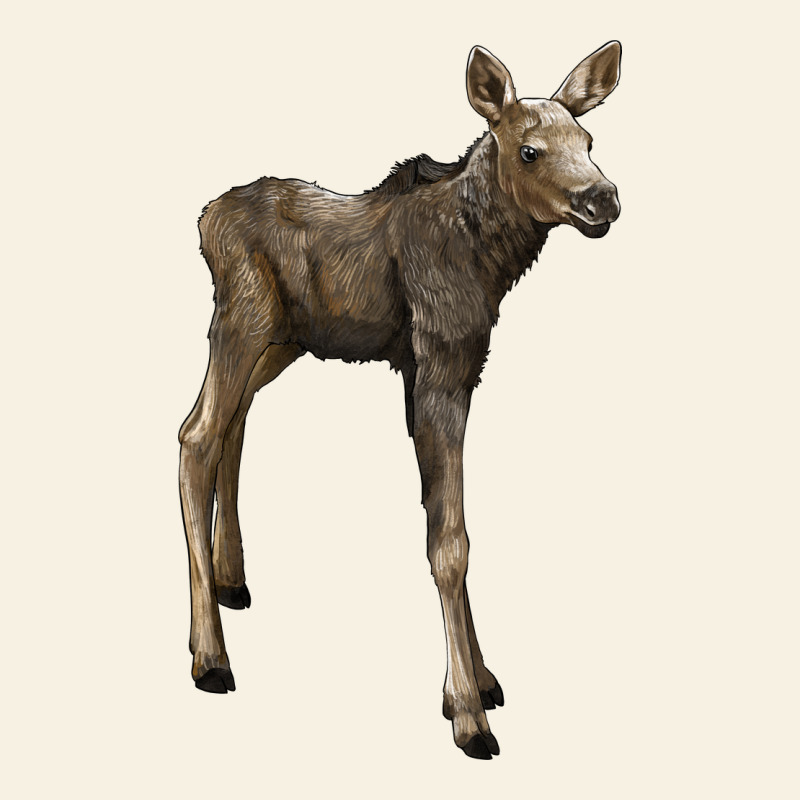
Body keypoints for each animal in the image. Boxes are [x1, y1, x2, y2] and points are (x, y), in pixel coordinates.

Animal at [179, 42, 622, 759]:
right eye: (530, 150)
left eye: (587, 140)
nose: (602, 197)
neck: (487, 260)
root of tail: (204, 217)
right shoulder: (438, 365)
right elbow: (450, 540)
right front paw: (469, 713)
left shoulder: (453, 370)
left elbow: (448, 520)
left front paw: (479, 682)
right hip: (243, 319)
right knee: (195, 435)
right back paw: (210, 657)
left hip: (282, 340)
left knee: (232, 425)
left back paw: (231, 580)